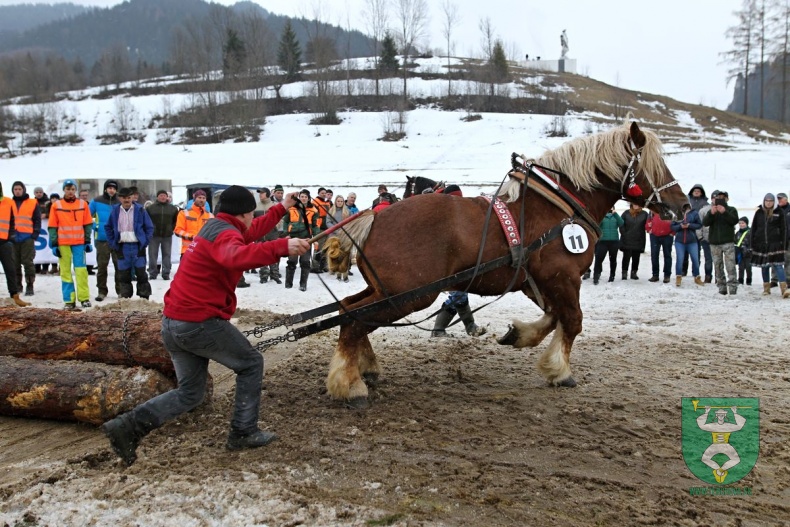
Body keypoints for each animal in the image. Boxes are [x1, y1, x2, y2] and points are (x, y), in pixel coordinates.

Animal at [324, 119, 688, 408]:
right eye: (655, 165)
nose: (683, 205)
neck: (559, 205)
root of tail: (375, 218)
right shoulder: (563, 275)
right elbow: (572, 320)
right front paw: (560, 371)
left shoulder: (537, 280)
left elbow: (554, 316)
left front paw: (520, 335)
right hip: (411, 295)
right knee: (355, 320)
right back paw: (350, 385)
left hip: (385, 289)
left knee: (348, 311)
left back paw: (366, 368)